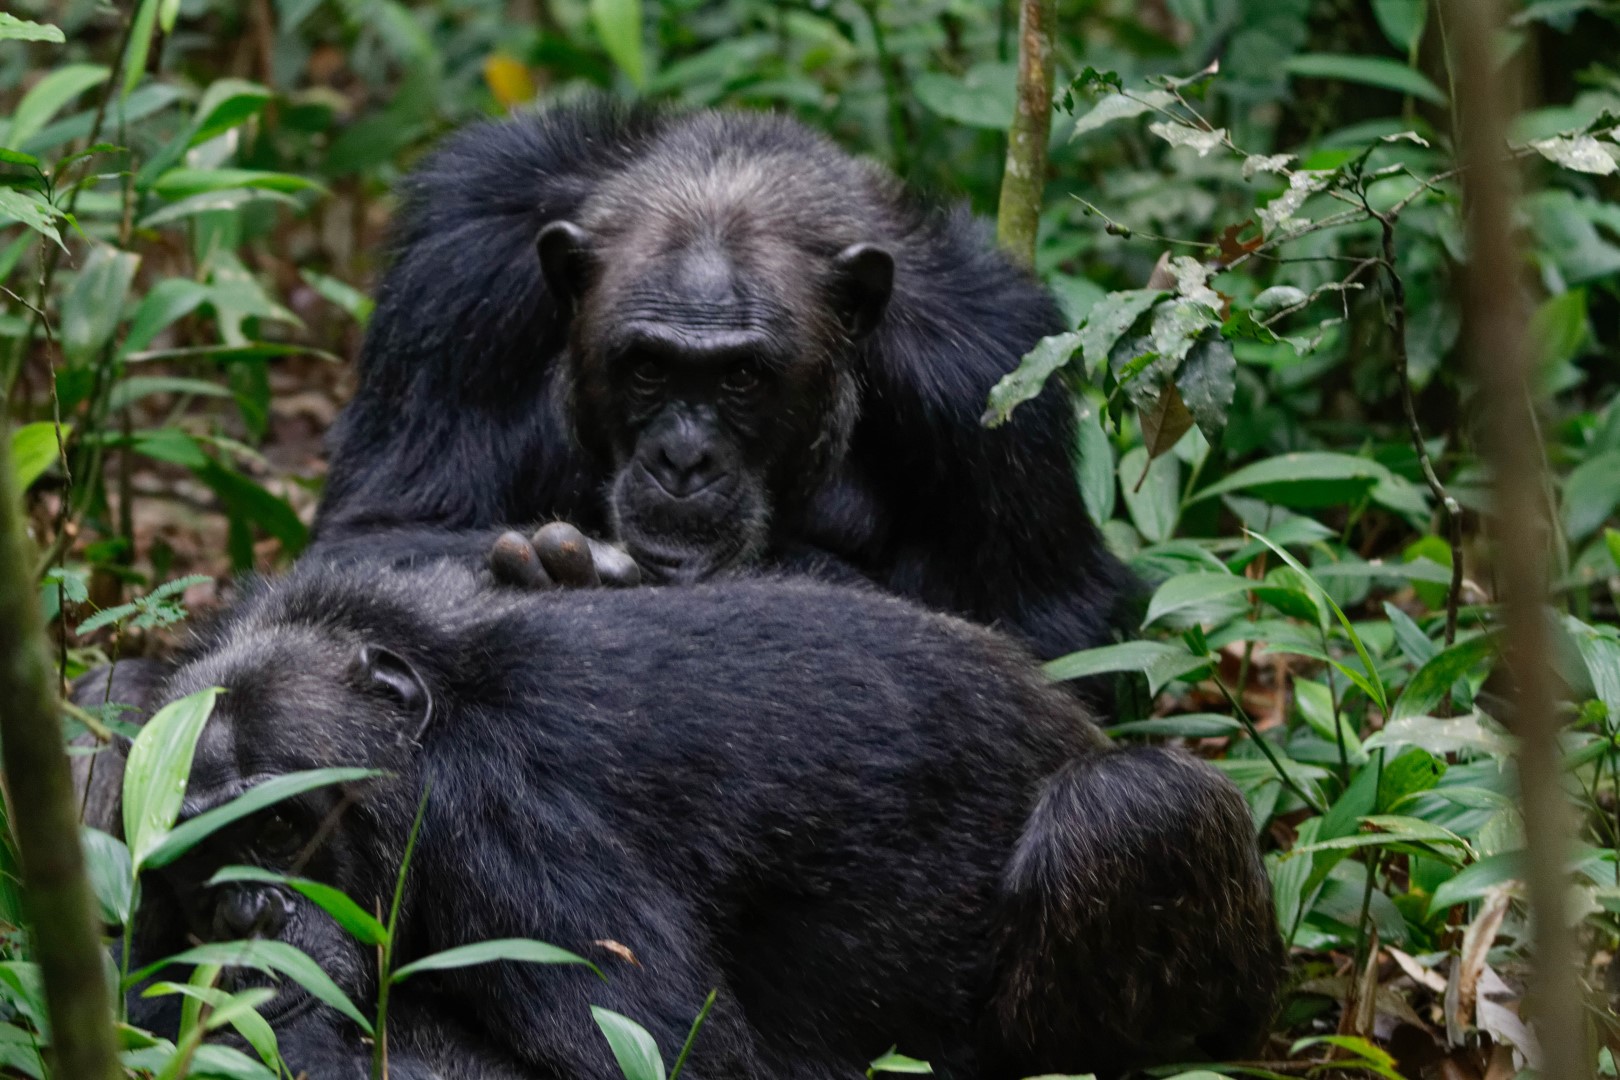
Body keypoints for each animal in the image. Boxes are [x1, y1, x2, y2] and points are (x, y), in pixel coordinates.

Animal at [129, 557, 1276, 1080]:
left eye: (282, 832)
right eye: (208, 862)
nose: (254, 918)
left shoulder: (507, 834)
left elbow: (663, 1056)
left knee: (1122, 810)